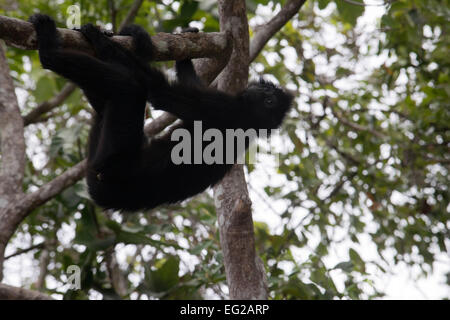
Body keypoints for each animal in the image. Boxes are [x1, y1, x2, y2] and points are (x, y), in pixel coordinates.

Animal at [29, 15, 294, 211]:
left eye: (270, 100)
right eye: (268, 93)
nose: (263, 88)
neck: (250, 121)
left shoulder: (224, 108)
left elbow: (159, 91)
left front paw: (99, 38)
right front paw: (185, 44)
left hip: (113, 160)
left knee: (129, 87)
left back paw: (49, 49)